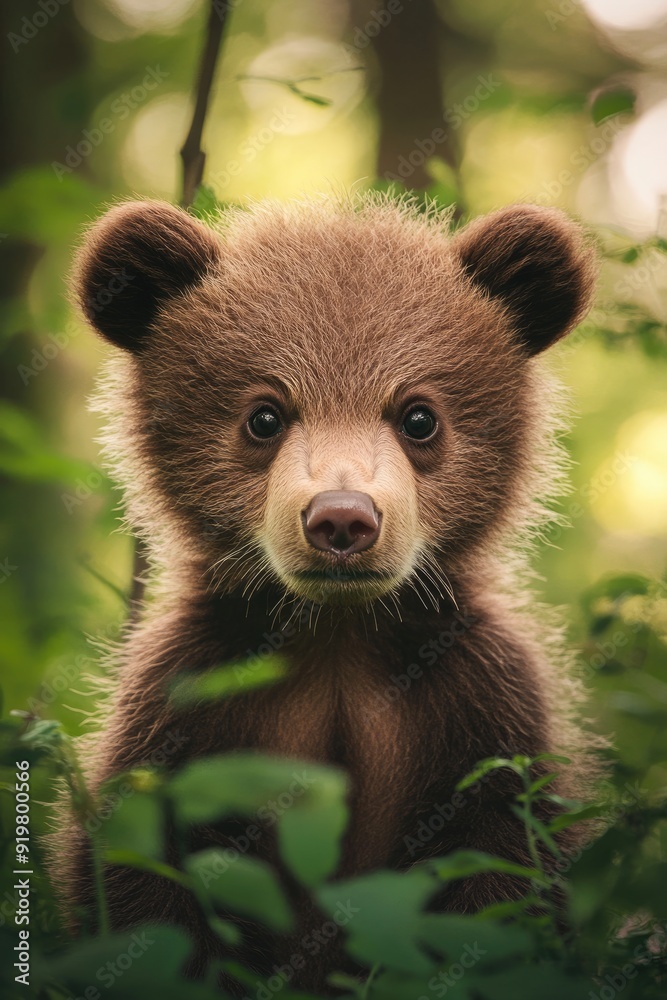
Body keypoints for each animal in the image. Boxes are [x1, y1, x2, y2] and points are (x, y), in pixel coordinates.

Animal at [53, 194, 598, 991]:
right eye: (265, 415)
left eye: (418, 416)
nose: (342, 518)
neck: (337, 632)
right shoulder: (191, 705)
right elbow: (141, 888)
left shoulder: (479, 709)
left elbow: (507, 875)